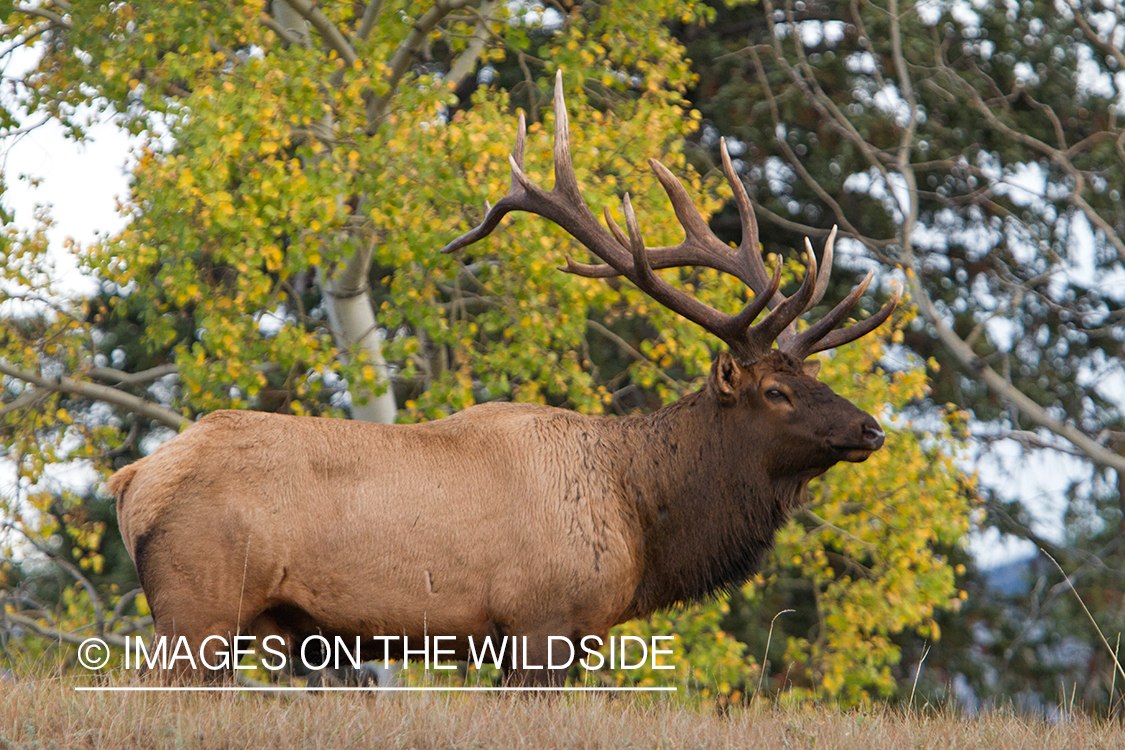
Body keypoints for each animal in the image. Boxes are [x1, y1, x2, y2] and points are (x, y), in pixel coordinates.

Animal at [105, 74, 895, 688]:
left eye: (811, 373)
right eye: (775, 391)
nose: (871, 427)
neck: (642, 516)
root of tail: (133, 479)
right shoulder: (542, 622)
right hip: (198, 604)